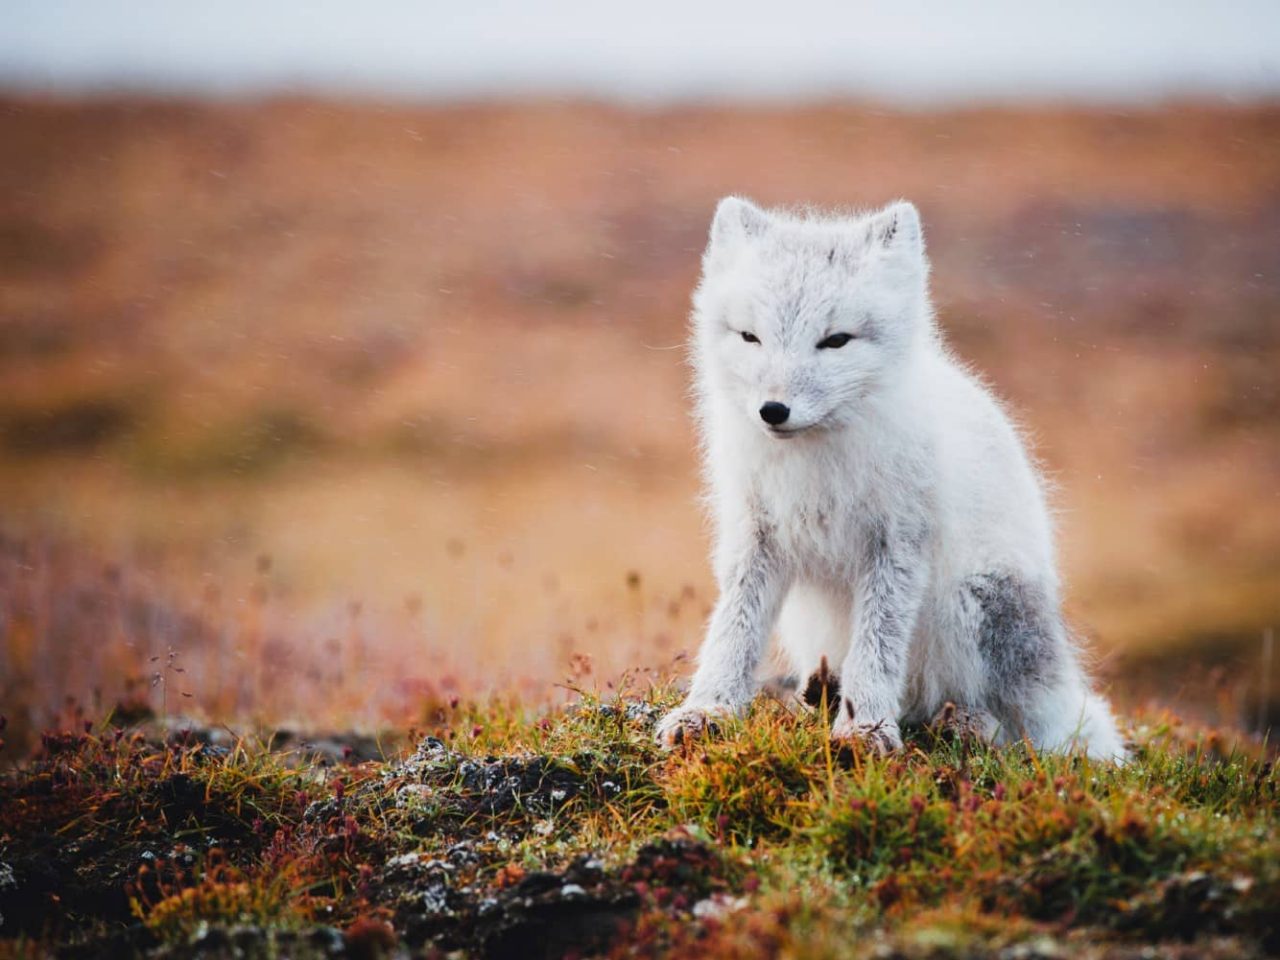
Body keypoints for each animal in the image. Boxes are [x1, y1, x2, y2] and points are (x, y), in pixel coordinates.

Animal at [654, 197, 1126, 761]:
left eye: (835, 340)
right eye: (750, 337)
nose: (773, 410)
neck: (816, 462)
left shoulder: (897, 544)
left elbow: (878, 646)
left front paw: (865, 729)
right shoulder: (756, 535)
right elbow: (732, 632)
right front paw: (706, 712)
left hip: (980, 605)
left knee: (1016, 727)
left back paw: (966, 724)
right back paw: (820, 693)